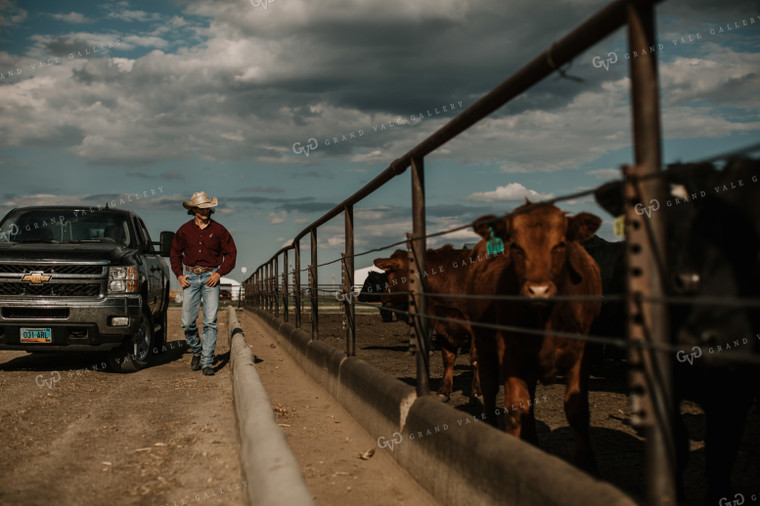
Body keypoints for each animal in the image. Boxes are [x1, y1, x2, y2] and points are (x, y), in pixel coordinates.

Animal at [374, 245, 480, 400]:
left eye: (388, 273)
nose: (382, 297)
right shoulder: (443, 327)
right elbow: (448, 357)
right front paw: (443, 390)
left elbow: (475, 358)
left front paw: (477, 391)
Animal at [466, 204, 604, 472]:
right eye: (515, 246)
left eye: (560, 244)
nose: (538, 290)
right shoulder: (508, 349)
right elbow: (515, 407)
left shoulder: (583, 351)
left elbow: (577, 409)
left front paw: (587, 466)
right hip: (484, 342)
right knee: (489, 386)